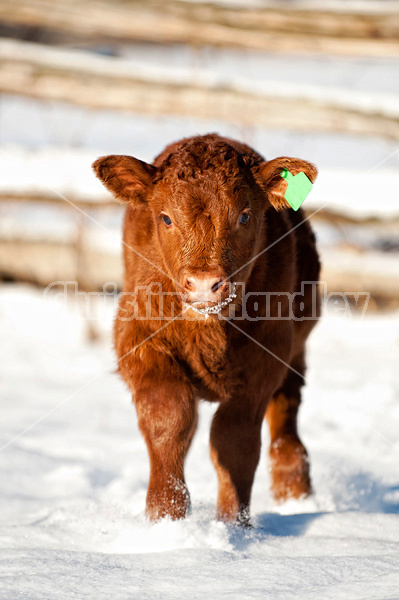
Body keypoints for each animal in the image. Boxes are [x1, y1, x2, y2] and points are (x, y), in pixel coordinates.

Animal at [92, 135, 320, 524]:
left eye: (245, 215)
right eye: (165, 218)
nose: (203, 285)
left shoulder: (266, 358)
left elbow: (234, 442)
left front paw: (234, 525)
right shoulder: (138, 339)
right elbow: (169, 419)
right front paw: (165, 518)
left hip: (296, 350)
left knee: (286, 420)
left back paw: (296, 497)